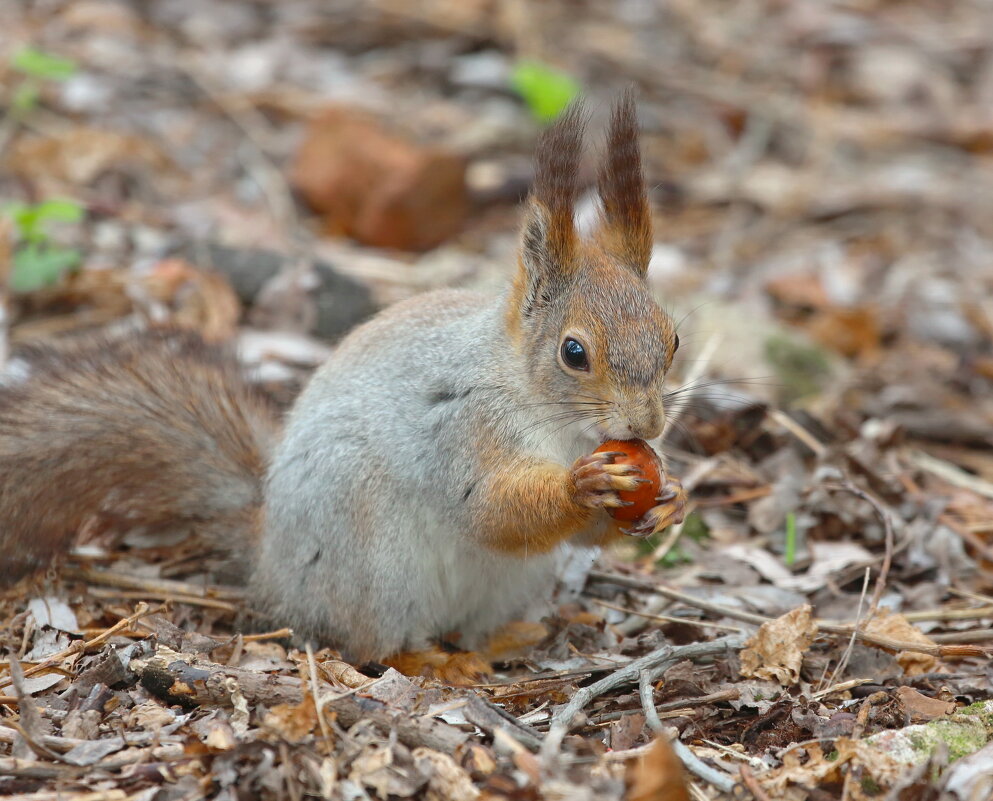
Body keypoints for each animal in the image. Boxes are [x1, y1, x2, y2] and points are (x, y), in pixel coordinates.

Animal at [0, 94, 680, 664]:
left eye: (672, 339)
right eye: (573, 352)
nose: (648, 424)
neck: (548, 414)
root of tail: (271, 564)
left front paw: (667, 501)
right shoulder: (461, 426)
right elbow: (487, 509)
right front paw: (580, 485)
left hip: (504, 581)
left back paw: (505, 640)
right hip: (373, 561)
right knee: (371, 645)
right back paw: (435, 665)